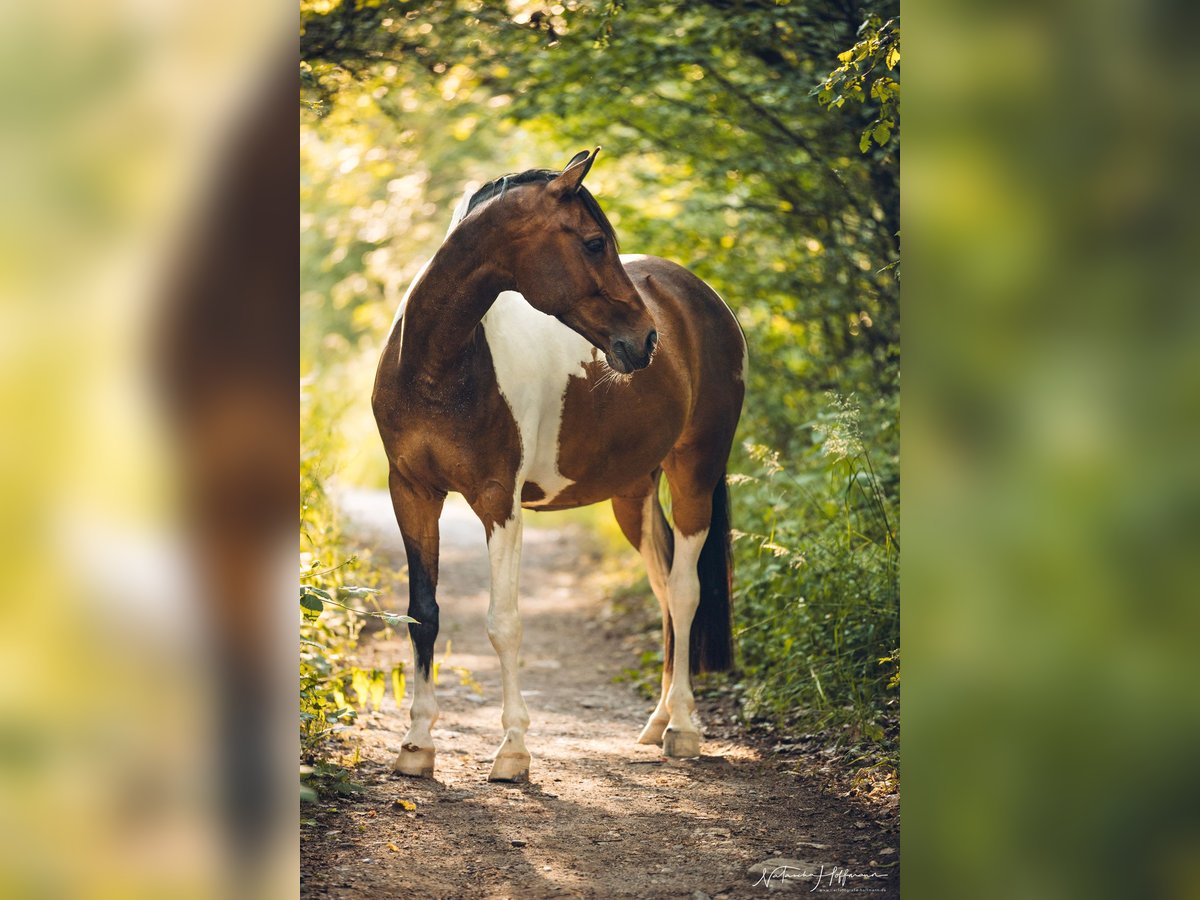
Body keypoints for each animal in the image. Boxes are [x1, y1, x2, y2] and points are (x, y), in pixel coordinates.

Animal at [372, 148, 748, 782]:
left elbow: (504, 623)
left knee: (685, 590)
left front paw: (513, 751)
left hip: (694, 473)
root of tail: (703, 298)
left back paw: (683, 729)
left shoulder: (498, 501)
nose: (646, 341)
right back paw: (655, 724)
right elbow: (423, 614)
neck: (438, 366)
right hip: (633, 493)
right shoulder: (412, 493)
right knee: (663, 587)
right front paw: (417, 746)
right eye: (595, 243)